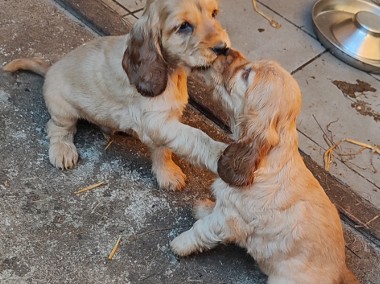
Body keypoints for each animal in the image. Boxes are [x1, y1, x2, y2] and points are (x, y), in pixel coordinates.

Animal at [2, 0, 230, 191]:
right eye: (183, 26)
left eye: (214, 14)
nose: (224, 48)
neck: (172, 71)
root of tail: (50, 69)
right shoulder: (156, 120)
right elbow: (195, 137)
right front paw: (221, 154)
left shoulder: (159, 123)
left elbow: (163, 150)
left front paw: (168, 173)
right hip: (63, 109)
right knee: (57, 128)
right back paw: (62, 150)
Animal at [171, 50, 360, 282]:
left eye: (246, 74)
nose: (227, 50)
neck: (265, 160)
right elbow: (212, 210)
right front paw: (204, 208)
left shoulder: (229, 219)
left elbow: (201, 230)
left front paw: (180, 244)